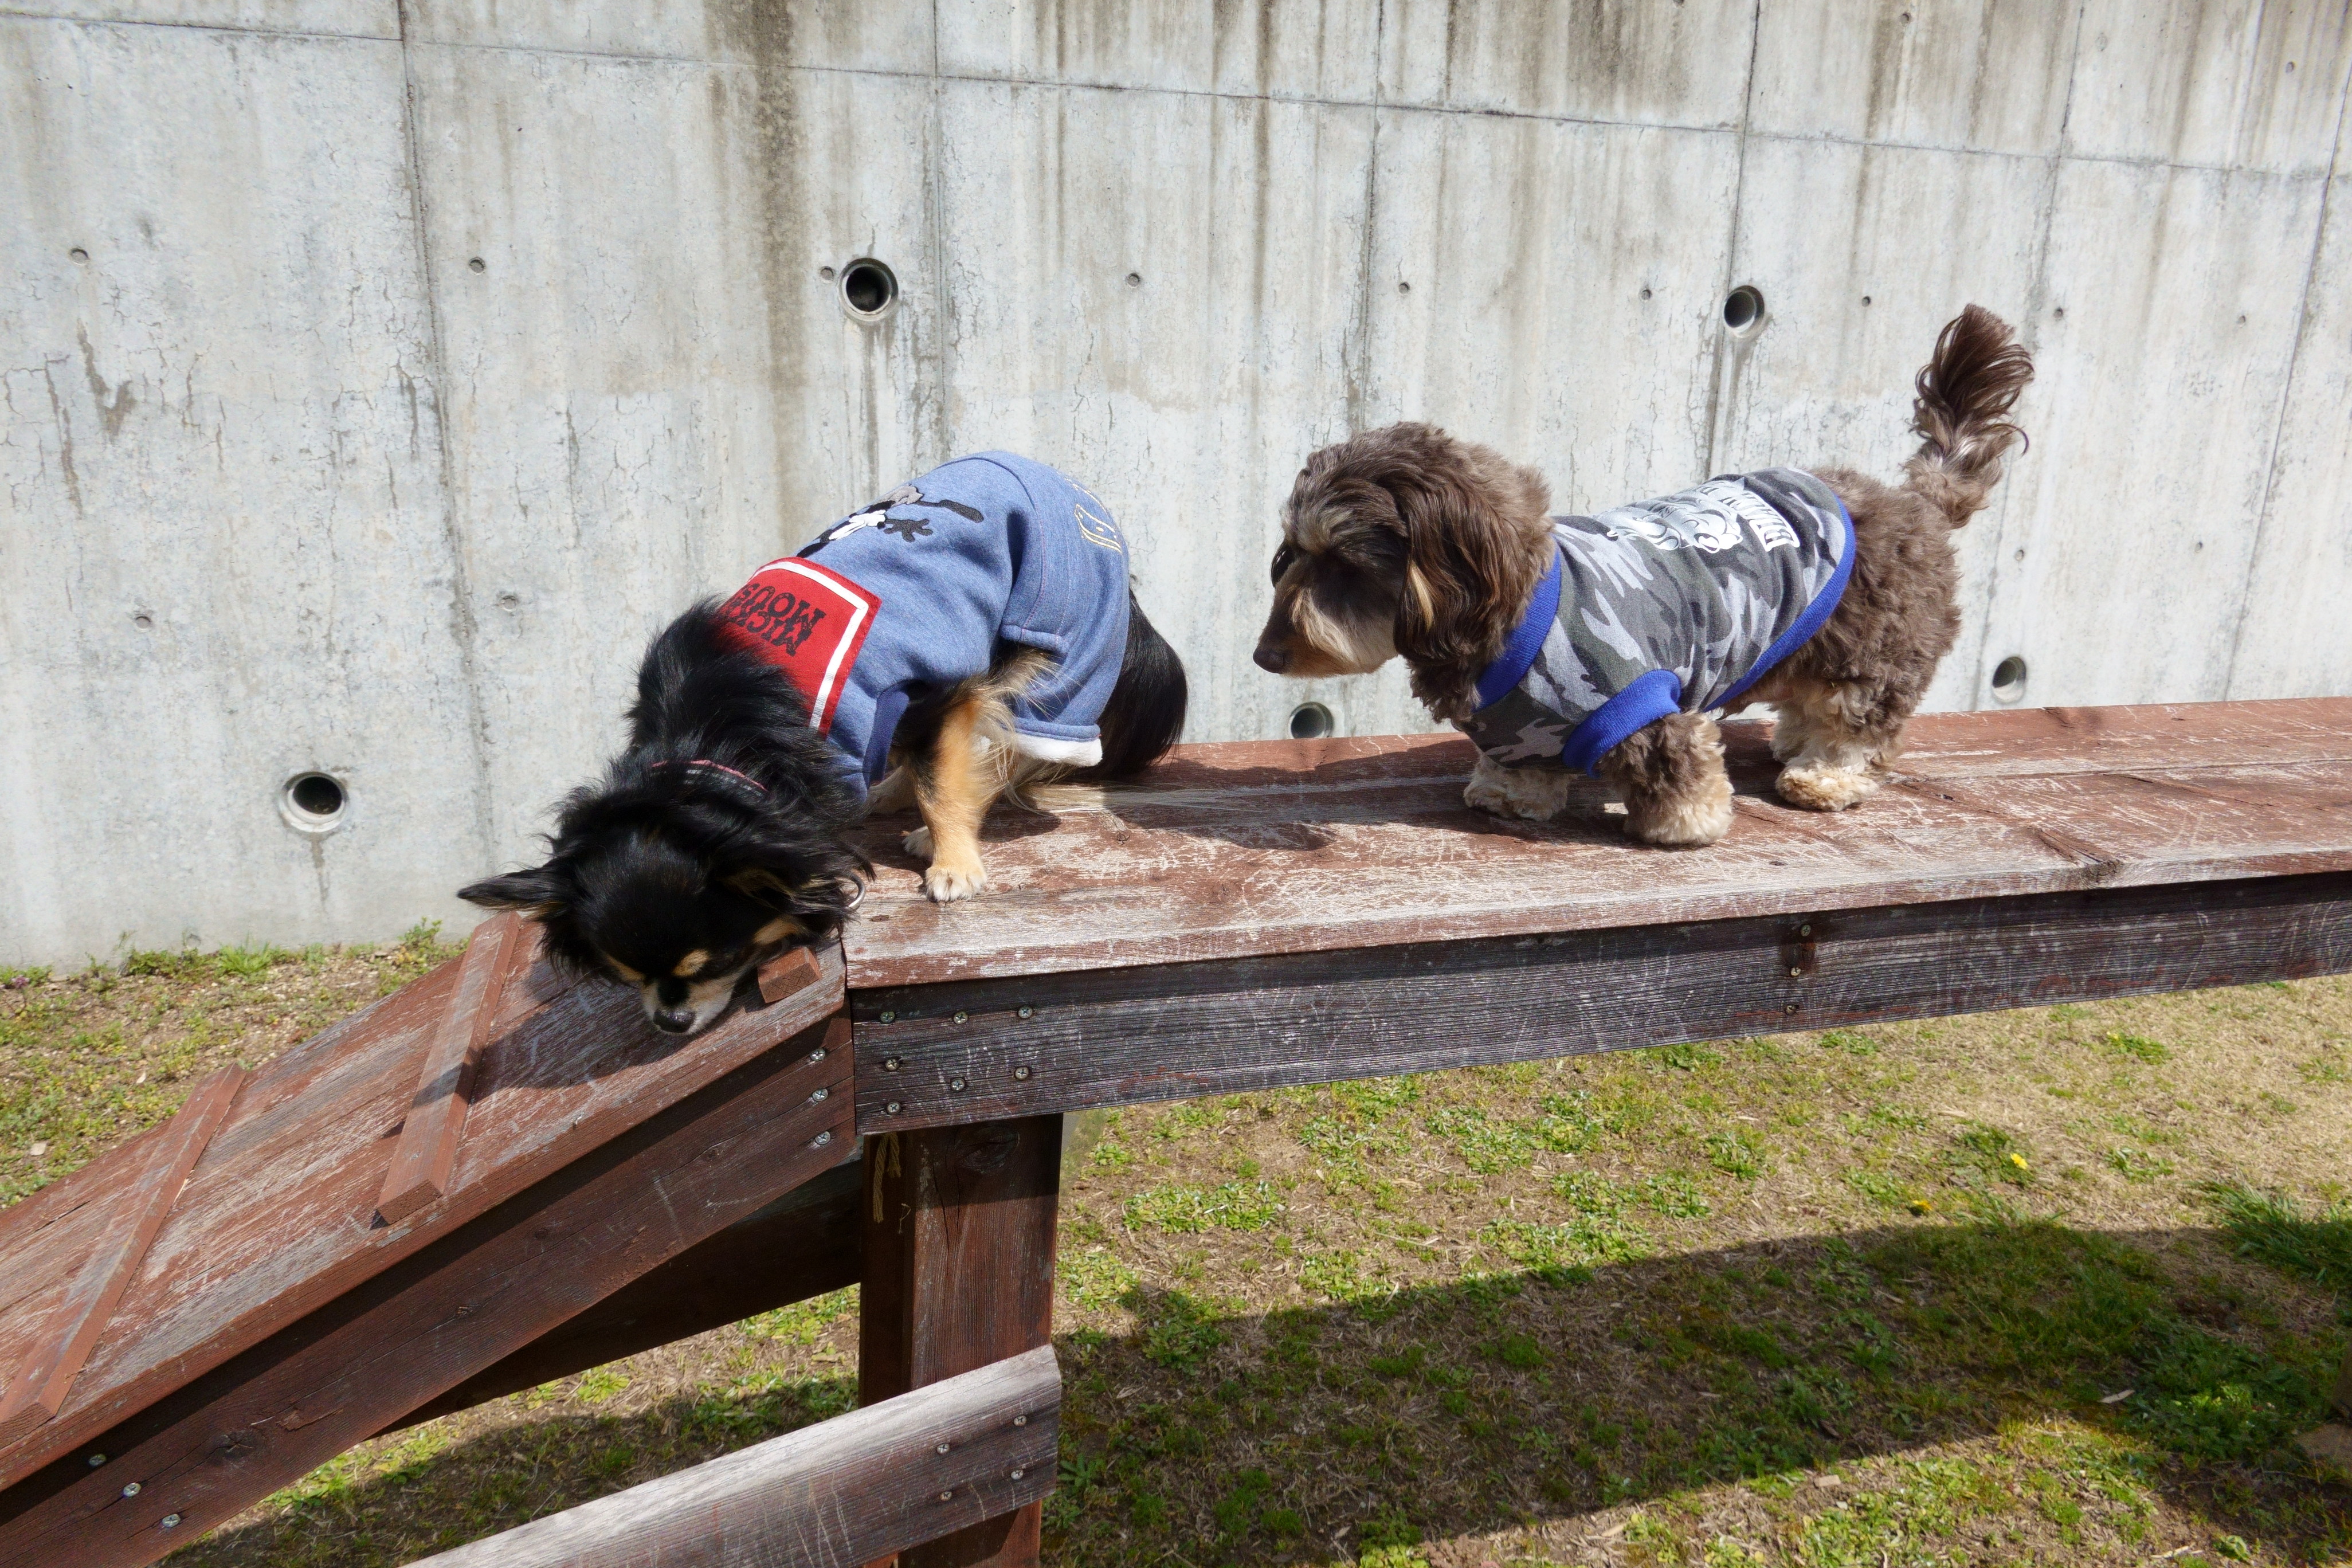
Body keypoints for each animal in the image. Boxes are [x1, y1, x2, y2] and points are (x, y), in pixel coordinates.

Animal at [463, 453, 1194, 1034]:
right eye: (623, 976)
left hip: (1064, 629)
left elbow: (943, 782)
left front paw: (955, 863)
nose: (669, 1022)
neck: (719, 746)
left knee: (1026, 736)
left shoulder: (933, 692)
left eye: (719, 962)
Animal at [1260, 305, 2032, 846]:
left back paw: (1821, 776)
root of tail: (1915, 502)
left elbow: (1676, 765)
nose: (1264, 656)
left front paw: (1684, 823)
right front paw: (1510, 797)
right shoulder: (1515, 729)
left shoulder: (1647, 705)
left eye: (1344, 562)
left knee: (1858, 724)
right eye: (1291, 552)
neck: (1516, 612)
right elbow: (1521, 765)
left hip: (1873, 654)